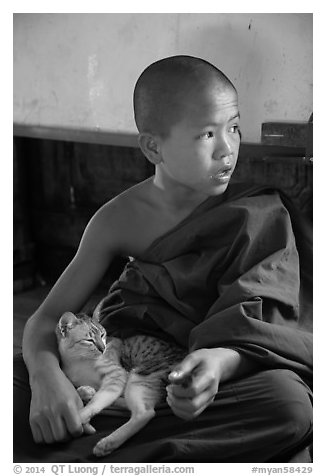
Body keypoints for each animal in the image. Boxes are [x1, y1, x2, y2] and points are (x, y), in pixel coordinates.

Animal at [54, 312, 185, 458]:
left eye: (102, 335)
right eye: (89, 340)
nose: (103, 348)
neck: (78, 362)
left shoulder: (118, 374)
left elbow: (99, 399)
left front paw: (82, 414)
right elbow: (84, 389)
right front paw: (85, 391)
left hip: (141, 375)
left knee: (145, 413)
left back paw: (107, 443)